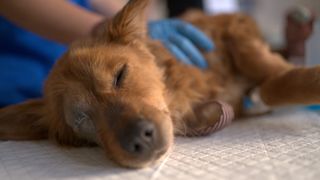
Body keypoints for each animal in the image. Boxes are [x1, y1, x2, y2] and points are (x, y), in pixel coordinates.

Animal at [0, 0, 320, 169]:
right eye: (81, 120)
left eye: (120, 75)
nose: (139, 140)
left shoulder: (231, 24)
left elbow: (265, 69)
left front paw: (294, 75)